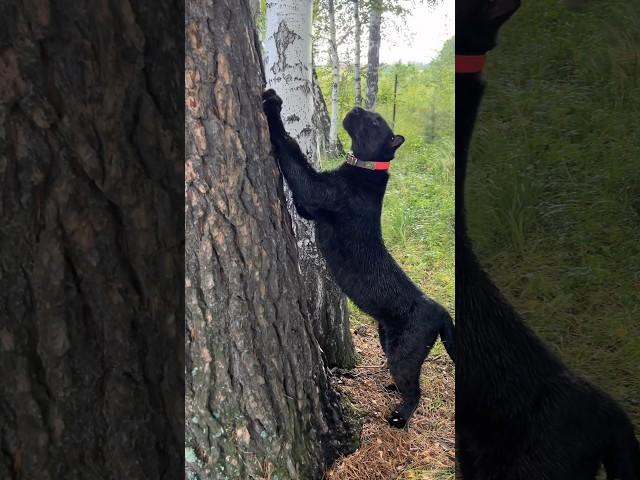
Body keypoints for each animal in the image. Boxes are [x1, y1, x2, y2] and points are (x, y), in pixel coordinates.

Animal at [264, 89, 456, 428]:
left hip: (403, 354)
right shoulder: (308, 206)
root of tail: (441, 310)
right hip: (386, 339)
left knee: (416, 390)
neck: (364, 169)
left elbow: (292, 152)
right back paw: (392, 390)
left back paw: (399, 418)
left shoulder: (316, 190)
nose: (355, 108)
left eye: (375, 120)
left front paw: (272, 104)